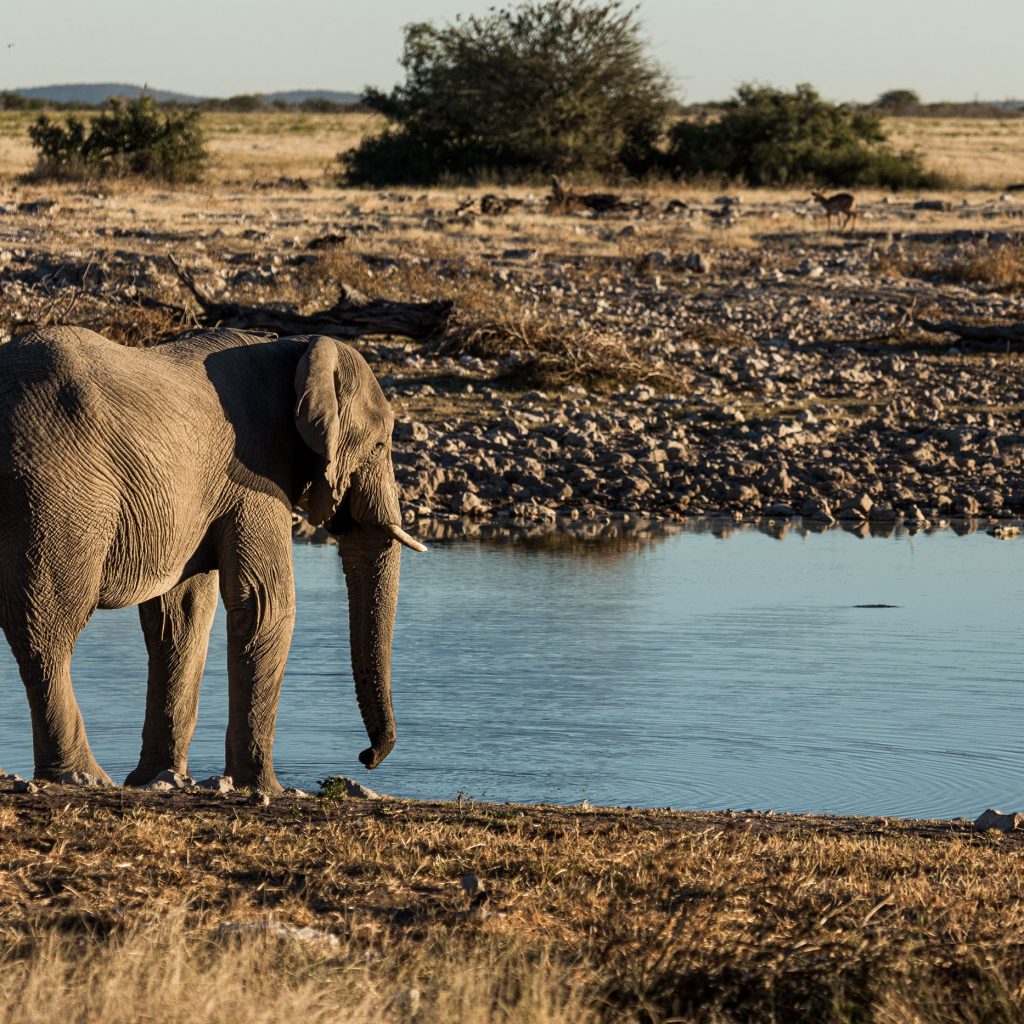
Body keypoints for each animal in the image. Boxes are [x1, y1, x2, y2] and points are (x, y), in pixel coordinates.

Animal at [0, 325, 425, 794]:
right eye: (380, 445)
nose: (365, 758)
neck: (299, 348)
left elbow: (182, 616)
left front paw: (159, 779)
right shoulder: (256, 474)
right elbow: (266, 605)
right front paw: (266, 789)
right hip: (55, 496)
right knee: (49, 627)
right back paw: (83, 777)